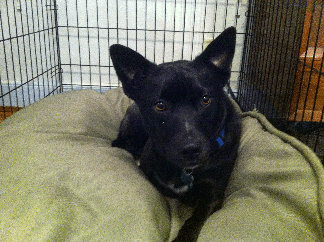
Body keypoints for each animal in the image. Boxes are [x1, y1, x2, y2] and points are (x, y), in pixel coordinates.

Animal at [111, 27, 240, 241]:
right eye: (160, 105)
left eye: (205, 99)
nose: (191, 149)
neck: (186, 171)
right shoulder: (148, 171)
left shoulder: (214, 194)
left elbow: (194, 220)